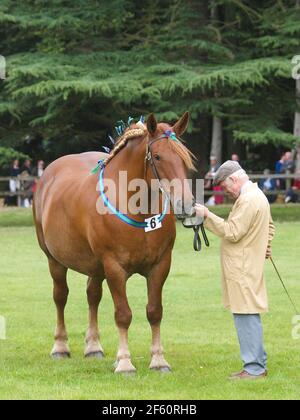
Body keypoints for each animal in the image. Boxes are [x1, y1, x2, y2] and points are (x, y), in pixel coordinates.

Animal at [32, 111, 195, 374]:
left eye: (184, 157)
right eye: (158, 156)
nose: (186, 204)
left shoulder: (160, 266)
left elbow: (154, 312)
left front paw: (158, 360)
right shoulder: (114, 268)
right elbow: (123, 315)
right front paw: (125, 362)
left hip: (95, 267)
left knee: (93, 295)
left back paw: (93, 346)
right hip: (55, 260)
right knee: (60, 296)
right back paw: (60, 347)